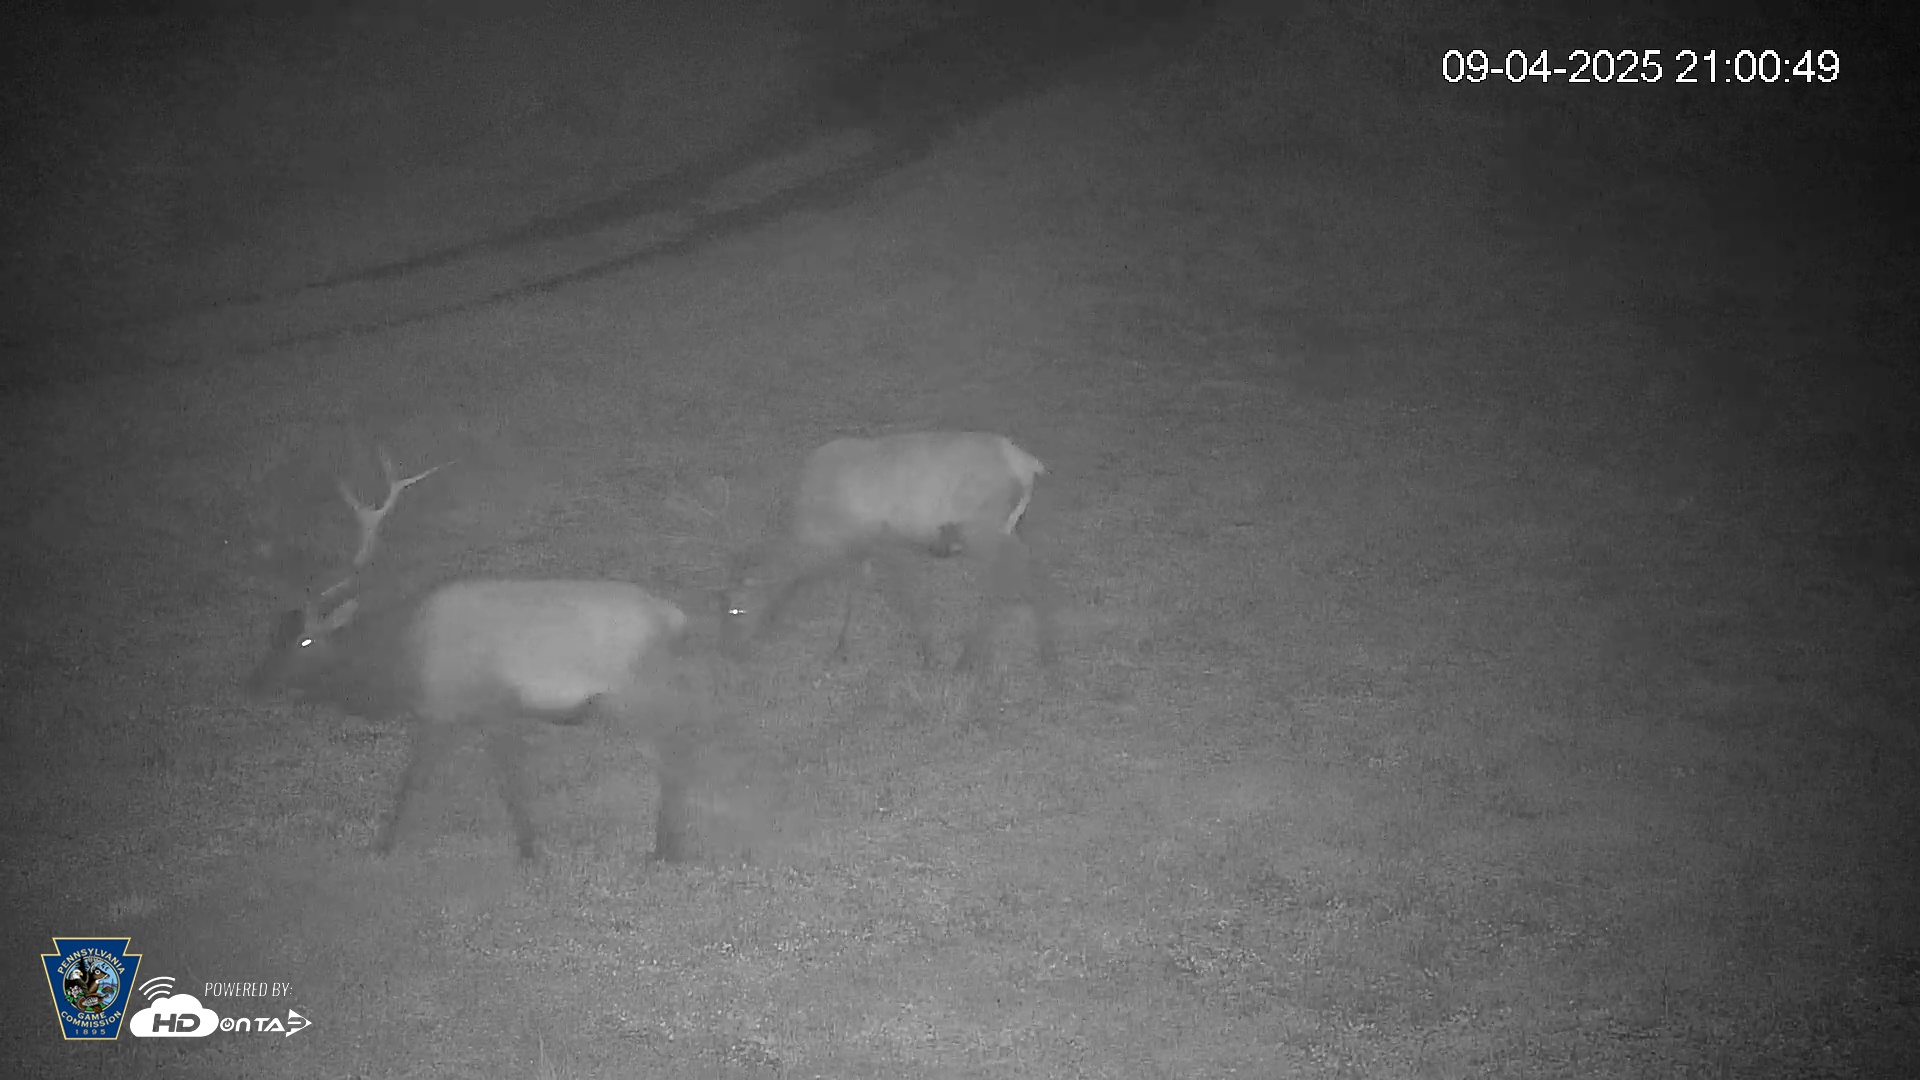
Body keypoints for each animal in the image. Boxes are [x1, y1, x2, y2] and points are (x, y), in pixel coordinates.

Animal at [244, 448, 699, 862]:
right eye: (273, 634)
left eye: (305, 642)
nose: (255, 683)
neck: (402, 665)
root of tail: (675, 618)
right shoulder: (453, 713)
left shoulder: (477, 708)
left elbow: (459, 780)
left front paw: (525, 849)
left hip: (633, 696)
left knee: (672, 756)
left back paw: (665, 849)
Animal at [719, 431, 1060, 673]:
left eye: (737, 609)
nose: (731, 654)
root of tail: (1028, 465)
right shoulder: (864, 547)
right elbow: (857, 590)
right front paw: (840, 647)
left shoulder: (885, 540)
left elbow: (904, 595)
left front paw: (928, 656)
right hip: (1003, 526)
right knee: (1017, 568)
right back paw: (1038, 650)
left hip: (982, 527)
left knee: (1015, 567)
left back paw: (976, 656)